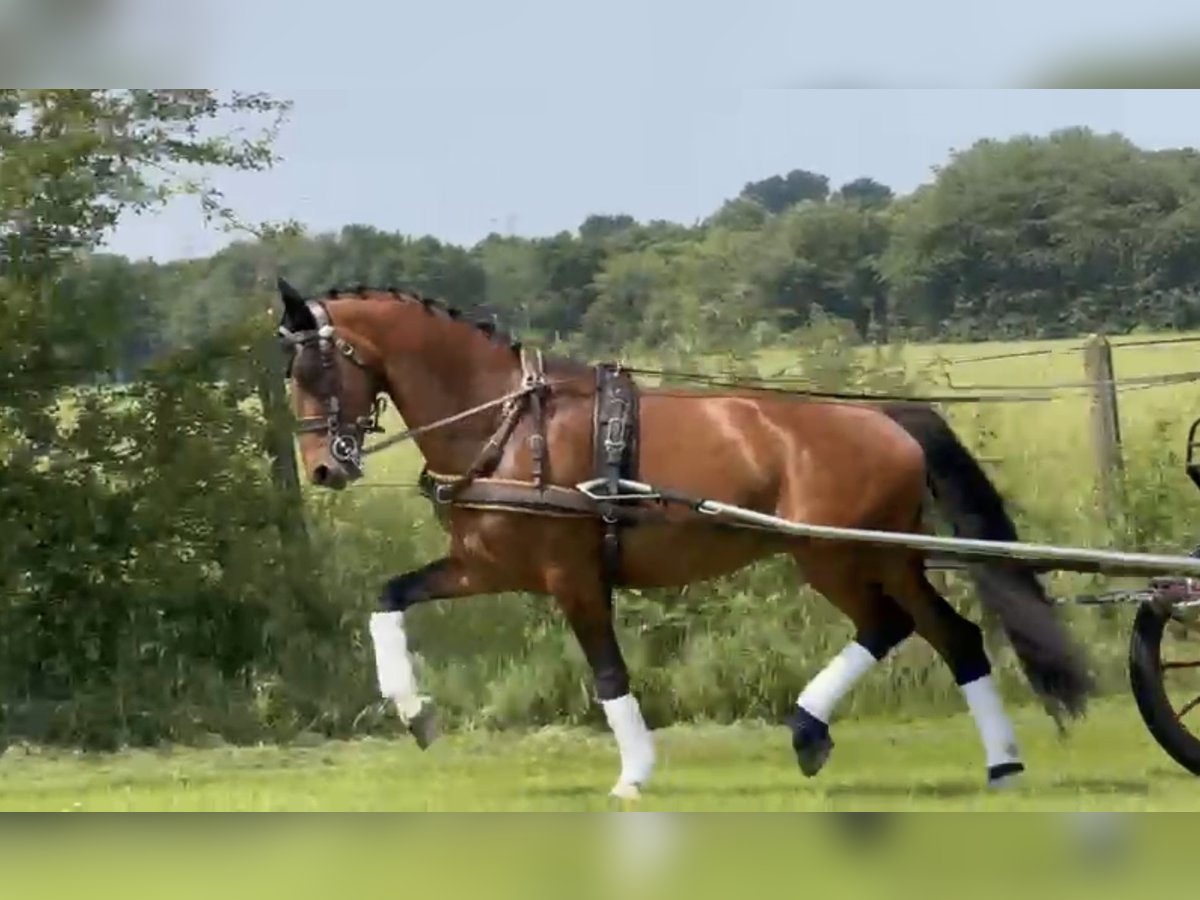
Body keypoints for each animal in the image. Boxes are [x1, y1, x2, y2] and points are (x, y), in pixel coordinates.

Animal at [276, 282, 1094, 801]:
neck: (507, 425)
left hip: (835, 554)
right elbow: (388, 597)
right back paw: (1001, 767)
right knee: (952, 636)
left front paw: (633, 775)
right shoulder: (486, 566)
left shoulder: (573, 577)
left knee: (892, 626)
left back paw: (811, 730)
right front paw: (413, 711)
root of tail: (885, 417)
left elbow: (608, 674)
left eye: (318, 365)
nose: (323, 468)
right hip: (886, 555)